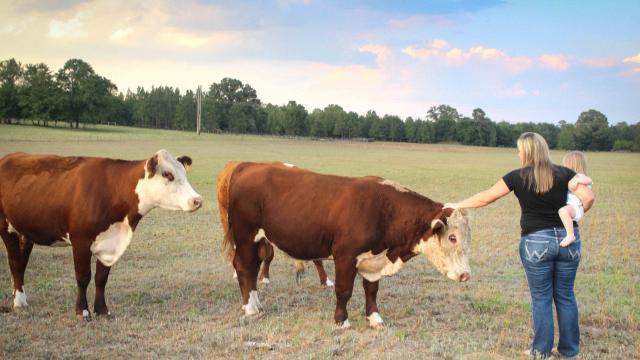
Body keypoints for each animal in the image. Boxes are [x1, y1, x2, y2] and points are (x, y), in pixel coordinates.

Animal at [0, 150, 201, 320]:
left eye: (184, 173)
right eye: (168, 175)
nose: (197, 200)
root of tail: (9, 157)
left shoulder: (109, 243)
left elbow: (101, 278)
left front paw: (102, 310)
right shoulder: (80, 240)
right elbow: (83, 277)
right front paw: (82, 311)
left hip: (26, 231)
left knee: (22, 263)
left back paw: (20, 297)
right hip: (5, 226)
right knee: (14, 262)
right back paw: (18, 302)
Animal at [218, 162, 468, 328]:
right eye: (452, 237)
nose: (466, 274)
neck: (383, 209)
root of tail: (248, 165)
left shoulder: (373, 259)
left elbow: (372, 290)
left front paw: (374, 318)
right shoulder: (345, 256)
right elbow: (344, 290)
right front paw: (341, 320)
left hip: (259, 240)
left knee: (252, 269)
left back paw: (255, 303)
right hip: (246, 236)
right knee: (243, 268)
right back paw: (250, 308)